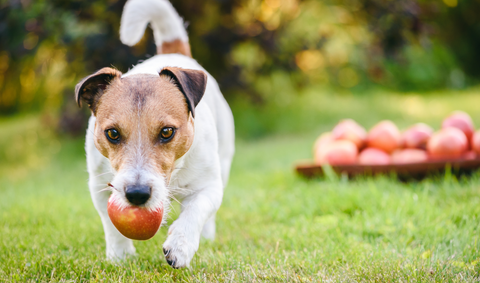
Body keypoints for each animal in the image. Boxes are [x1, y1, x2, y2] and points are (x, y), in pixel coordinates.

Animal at [73, 0, 234, 268]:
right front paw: (120, 257)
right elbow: (111, 225)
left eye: (167, 132)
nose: (137, 194)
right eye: (112, 133)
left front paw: (180, 245)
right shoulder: (99, 186)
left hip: (224, 158)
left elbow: (197, 209)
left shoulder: (209, 185)